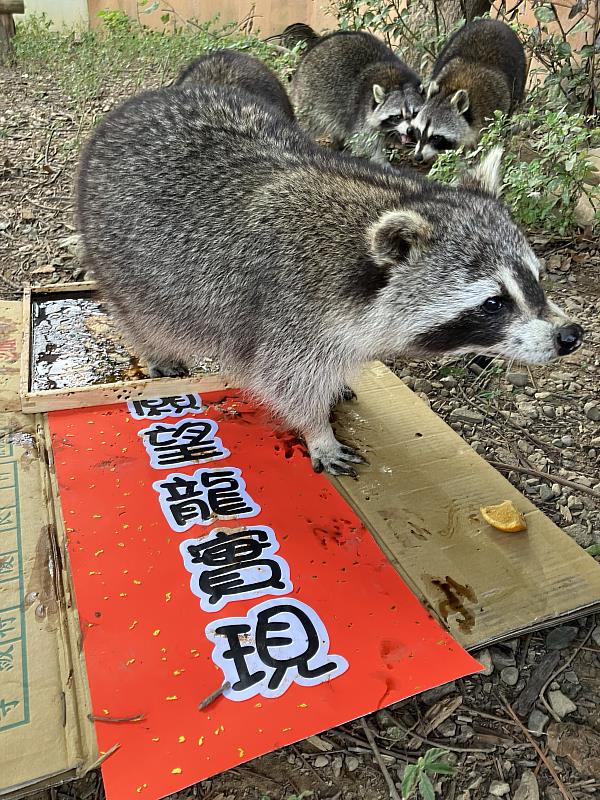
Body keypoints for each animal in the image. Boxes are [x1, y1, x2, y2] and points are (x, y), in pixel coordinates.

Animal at [77, 86, 584, 476]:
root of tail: (133, 107)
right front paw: (317, 430)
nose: (570, 336)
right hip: (118, 256)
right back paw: (154, 347)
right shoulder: (288, 312)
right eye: (494, 302)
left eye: (536, 278)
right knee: (142, 314)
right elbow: (286, 379)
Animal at [290, 27, 422, 162]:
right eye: (397, 117)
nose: (410, 130)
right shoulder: (362, 112)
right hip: (309, 95)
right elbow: (365, 143)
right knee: (308, 122)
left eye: (415, 113)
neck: (397, 82)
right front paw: (380, 160)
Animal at [412, 18, 524, 162]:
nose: (417, 157)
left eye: (436, 137)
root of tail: (493, 21)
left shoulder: (495, 106)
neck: (452, 89)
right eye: (419, 131)